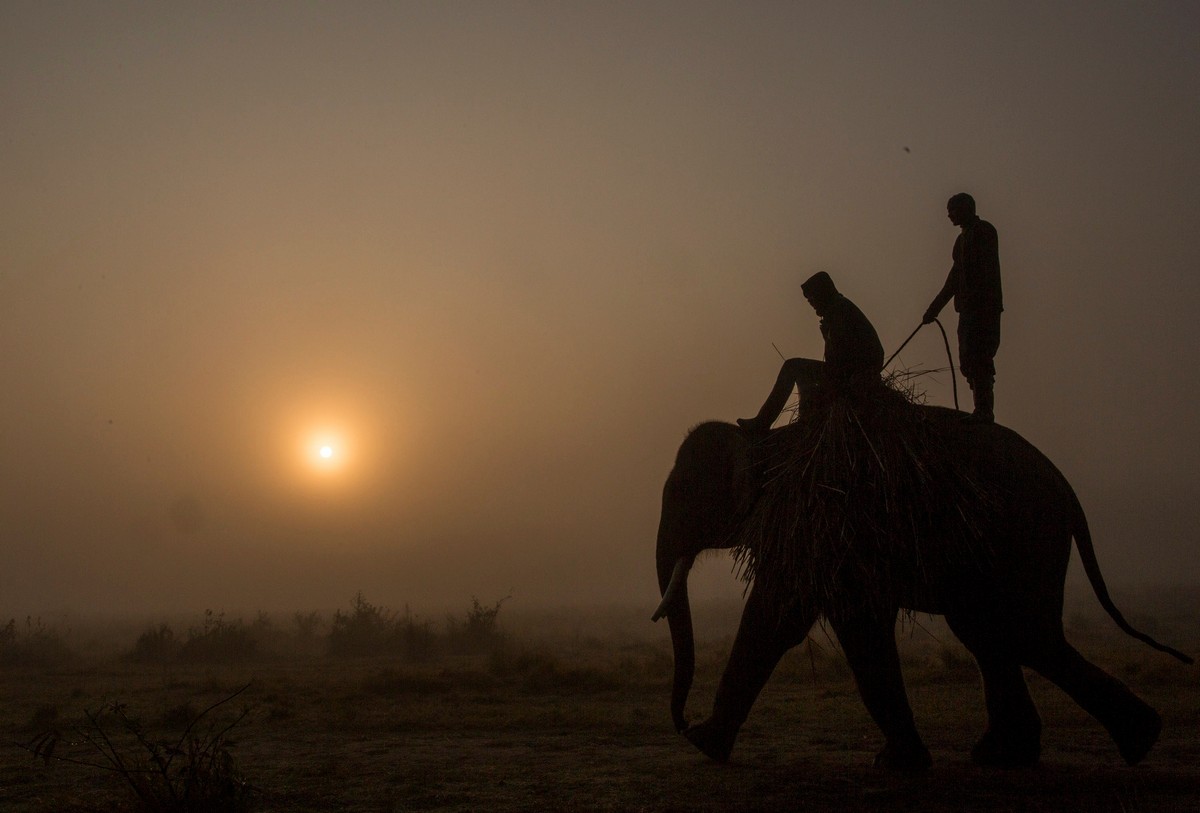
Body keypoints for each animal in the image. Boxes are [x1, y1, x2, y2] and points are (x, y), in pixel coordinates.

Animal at [657, 414, 1190, 772]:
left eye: (681, 495)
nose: (680, 723)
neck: (765, 437)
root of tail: (1068, 491)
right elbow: (803, 620)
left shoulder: (825, 521)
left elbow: (804, 620)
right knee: (992, 631)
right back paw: (1018, 755)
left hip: (1024, 536)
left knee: (1022, 634)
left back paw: (1133, 741)